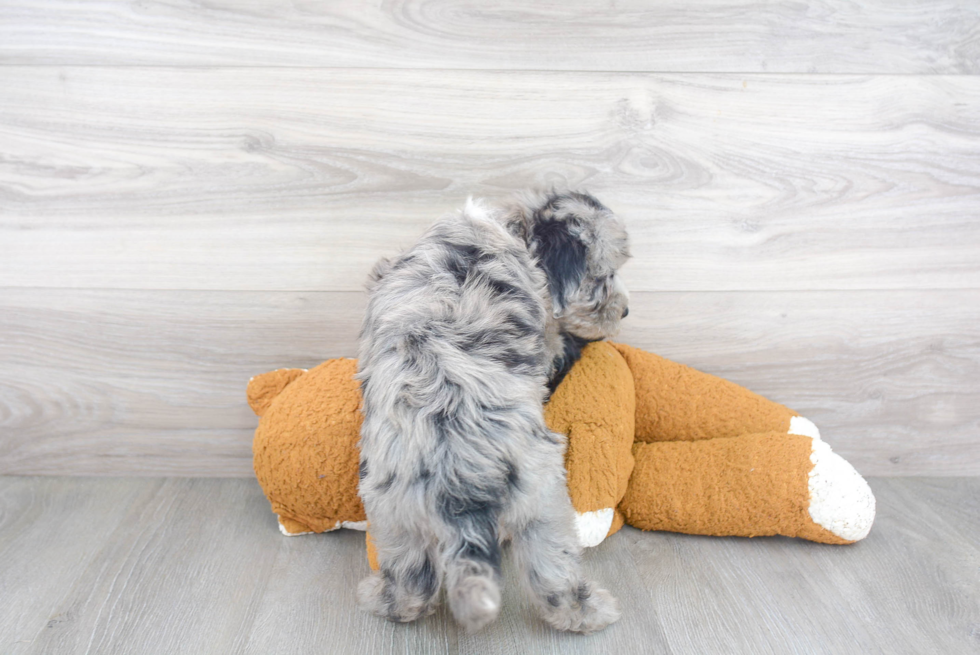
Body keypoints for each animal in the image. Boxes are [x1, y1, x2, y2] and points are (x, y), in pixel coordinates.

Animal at [356, 190, 632, 636]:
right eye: (601, 275)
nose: (623, 312)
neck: (512, 227)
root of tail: (461, 477)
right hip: (544, 501)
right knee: (554, 573)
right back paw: (588, 612)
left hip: (393, 511)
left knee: (412, 580)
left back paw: (386, 601)